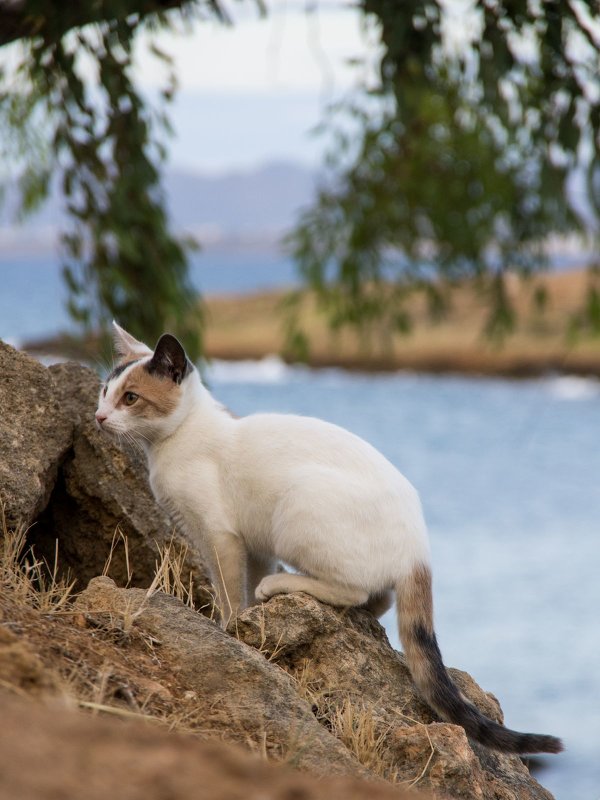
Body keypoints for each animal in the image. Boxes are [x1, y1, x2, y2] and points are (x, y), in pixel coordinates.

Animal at [97, 324, 564, 756]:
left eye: (130, 398)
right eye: (104, 392)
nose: (99, 417)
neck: (173, 443)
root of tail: (419, 550)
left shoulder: (219, 535)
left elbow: (230, 593)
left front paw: (229, 628)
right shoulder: (255, 544)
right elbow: (247, 586)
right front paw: (248, 620)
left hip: (297, 506)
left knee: (352, 590)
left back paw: (283, 586)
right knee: (377, 598)